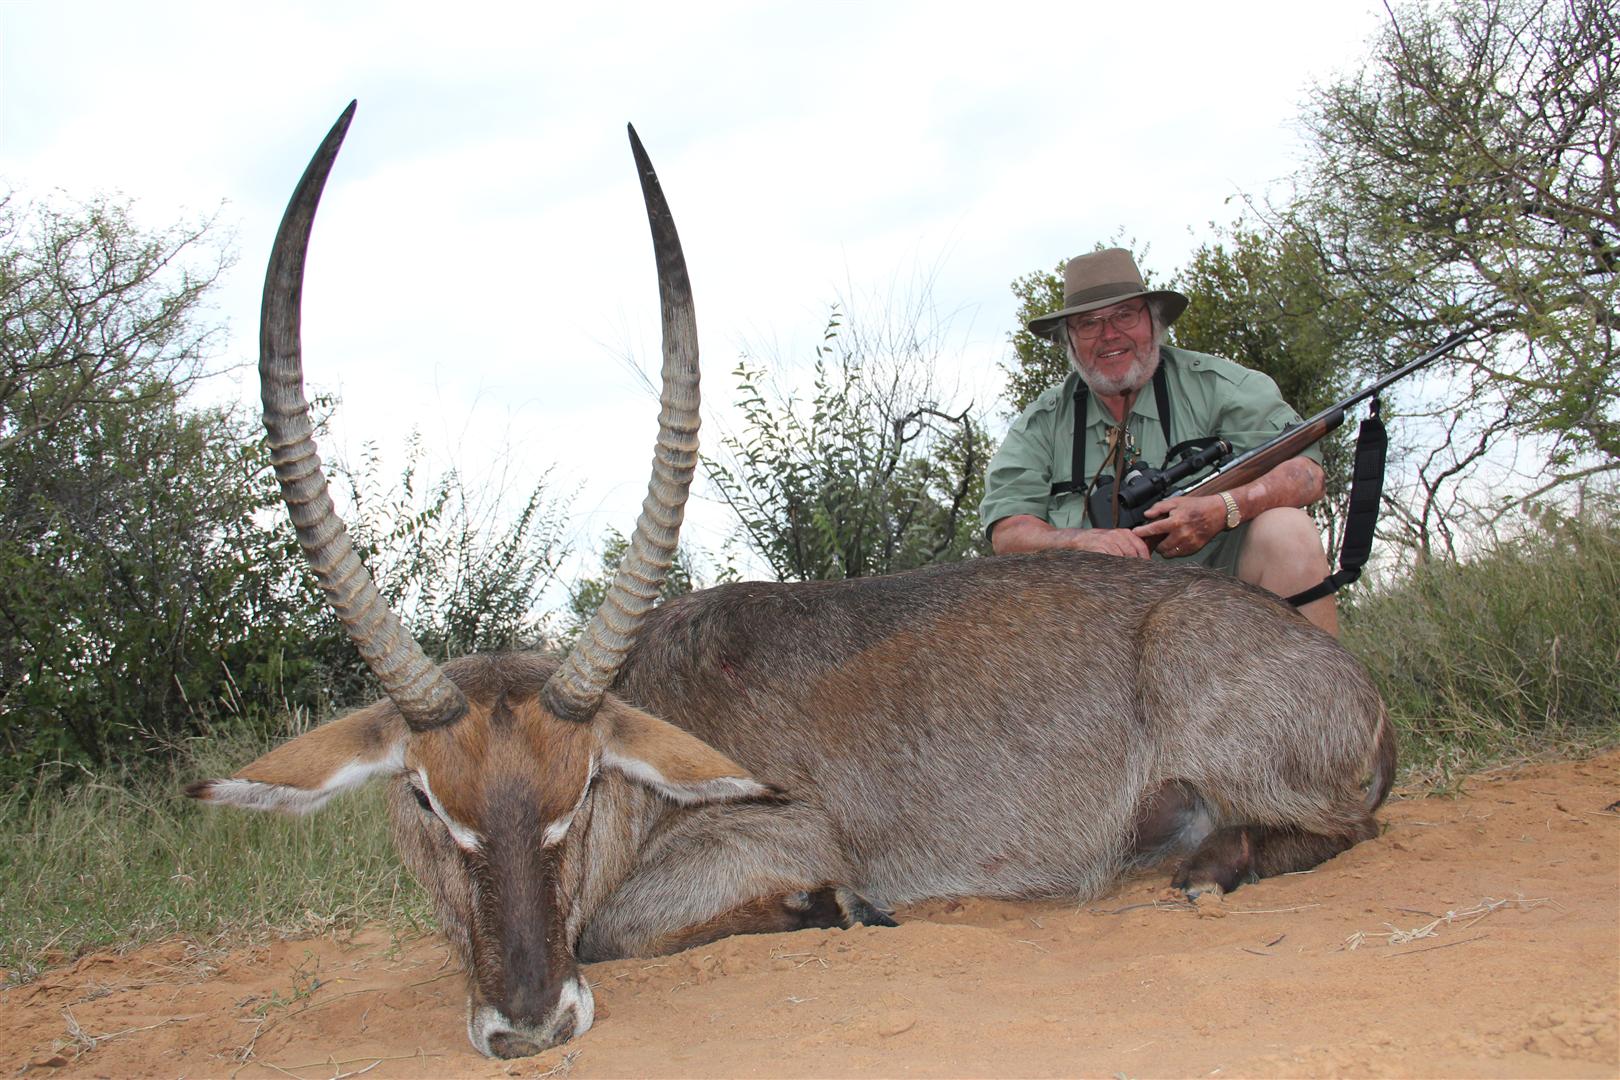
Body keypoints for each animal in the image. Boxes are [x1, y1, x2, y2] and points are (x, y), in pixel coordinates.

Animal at [191, 104, 1395, 1060]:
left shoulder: (781, 833)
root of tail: (1358, 691)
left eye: (585, 789)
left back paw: (1207, 867)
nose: (531, 1025)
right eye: (424, 800)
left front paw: (837, 910)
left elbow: (616, 928)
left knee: (1343, 827)